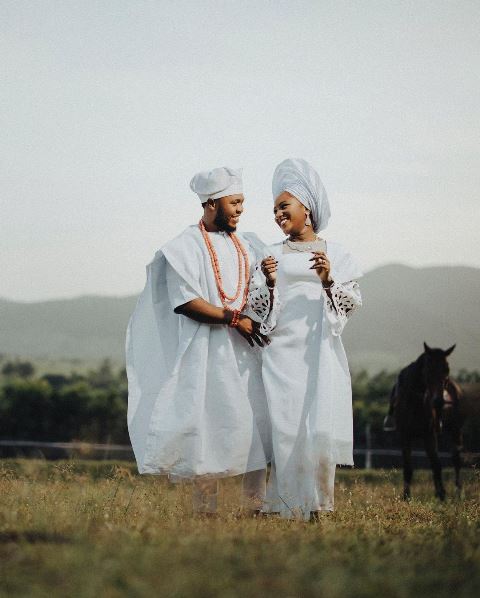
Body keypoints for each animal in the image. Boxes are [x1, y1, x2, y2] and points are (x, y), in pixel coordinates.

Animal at [384, 342, 464, 502]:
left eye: (446, 368)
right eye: (429, 369)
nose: (439, 402)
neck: (415, 399)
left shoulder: (429, 435)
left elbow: (436, 464)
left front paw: (442, 495)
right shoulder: (405, 436)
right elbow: (408, 467)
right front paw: (406, 496)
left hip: (455, 430)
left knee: (456, 459)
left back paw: (457, 492)